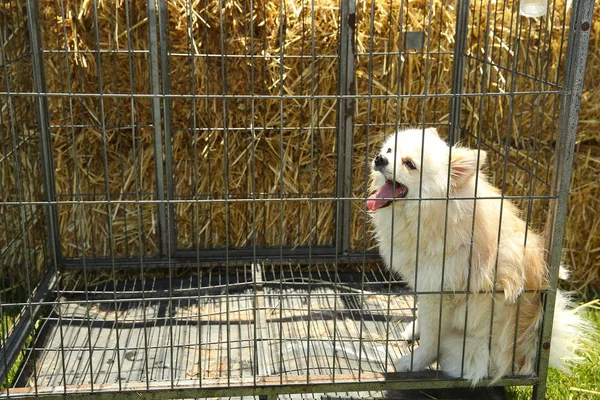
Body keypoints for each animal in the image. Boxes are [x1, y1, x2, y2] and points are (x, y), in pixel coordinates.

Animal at [366, 127, 584, 384]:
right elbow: (423, 316)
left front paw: (412, 363)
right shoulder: (427, 282)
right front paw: (415, 328)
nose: (380, 159)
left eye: (409, 164)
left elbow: (431, 340)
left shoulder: (440, 293)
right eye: (390, 150)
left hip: (467, 348)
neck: (437, 211)